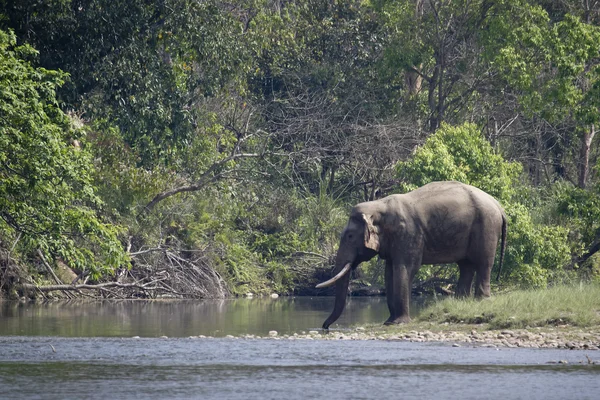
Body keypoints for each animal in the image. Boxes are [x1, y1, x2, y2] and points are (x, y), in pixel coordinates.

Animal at [316, 181, 508, 328]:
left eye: (349, 236)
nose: (325, 327)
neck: (379, 205)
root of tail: (499, 205)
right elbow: (389, 272)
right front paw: (389, 322)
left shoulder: (408, 233)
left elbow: (406, 268)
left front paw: (398, 323)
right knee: (466, 265)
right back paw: (460, 302)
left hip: (487, 226)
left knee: (483, 263)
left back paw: (481, 301)